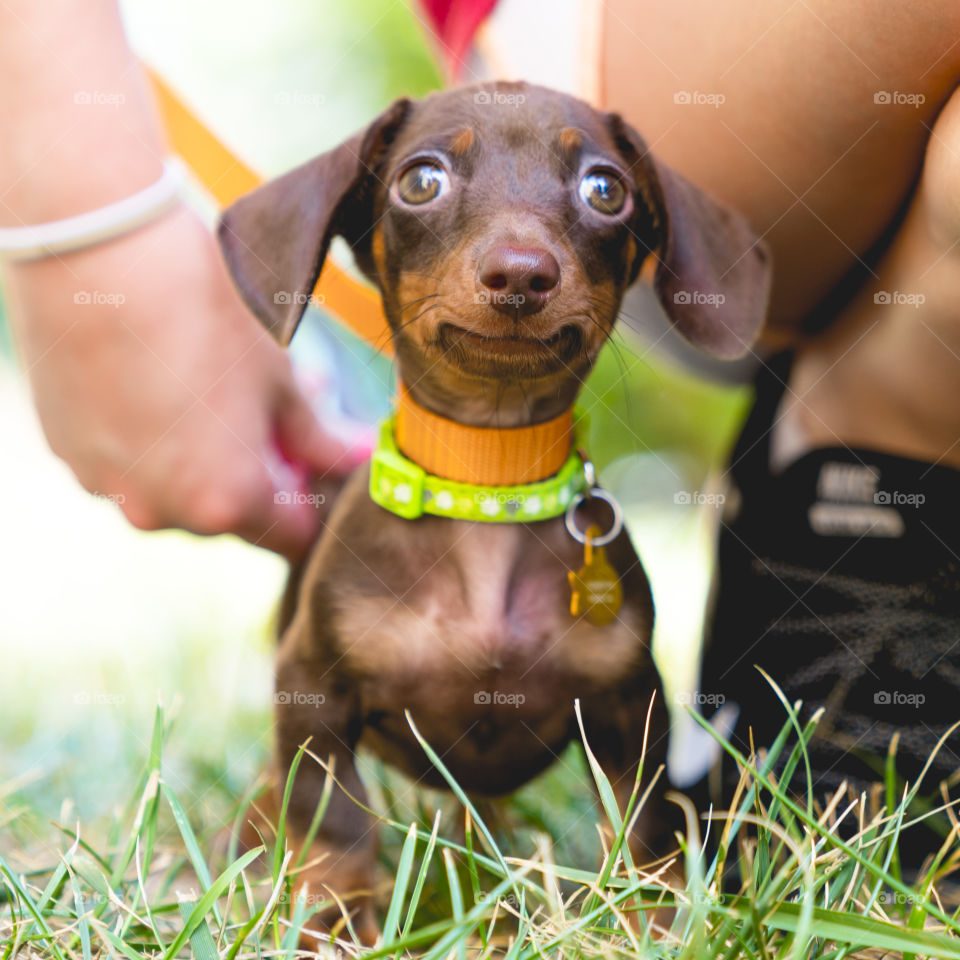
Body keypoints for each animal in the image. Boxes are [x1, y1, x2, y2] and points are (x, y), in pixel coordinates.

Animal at [219, 80, 772, 936]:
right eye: (421, 180)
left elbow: (646, 829)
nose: (521, 274)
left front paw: (653, 923)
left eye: (606, 189)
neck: (487, 482)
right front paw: (331, 921)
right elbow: (333, 822)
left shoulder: (629, 703)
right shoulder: (313, 690)